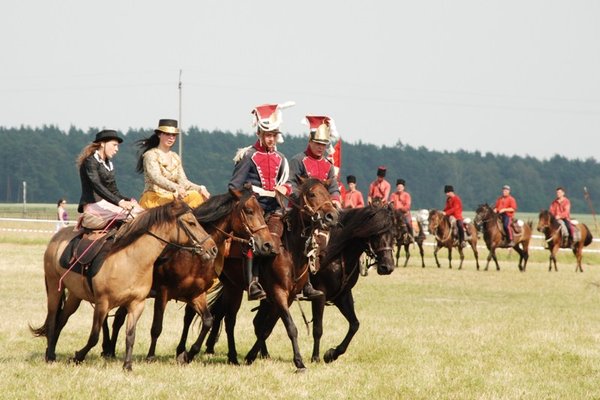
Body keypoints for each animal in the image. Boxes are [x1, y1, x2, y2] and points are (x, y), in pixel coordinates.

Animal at [30, 202, 217, 370]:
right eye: (191, 223)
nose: (213, 249)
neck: (130, 260)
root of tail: (58, 237)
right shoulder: (102, 304)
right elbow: (94, 336)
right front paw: (77, 357)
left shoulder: (136, 304)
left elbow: (130, 335)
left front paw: (127, 365)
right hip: (54, 287)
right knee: (53, 319)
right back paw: (51, 355)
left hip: (75, 295)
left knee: (62, 319)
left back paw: (51, 351)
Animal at [100, 186, 274, 360]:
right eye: (249, 211)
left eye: (261, 211)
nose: (267, 244)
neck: (189, 254)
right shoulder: (163, 292)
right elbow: (157, 327)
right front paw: (150, 356)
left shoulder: (197, 293)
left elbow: (207, 321)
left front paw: (188, 354)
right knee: (117, 318)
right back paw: (109, 350)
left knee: (119, 318)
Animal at [180, 178, 340, 372]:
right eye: (312, 194)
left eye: (327, 193)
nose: (332, 216)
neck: (290, 250)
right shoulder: (279, 293)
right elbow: (291, 327)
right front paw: (299, 362)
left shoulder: (288, 297)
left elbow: (266, 328)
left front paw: (251, 356)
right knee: (194, 313)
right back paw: (183, 350)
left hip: (232, 287)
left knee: (228, 319)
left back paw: (231, 356)